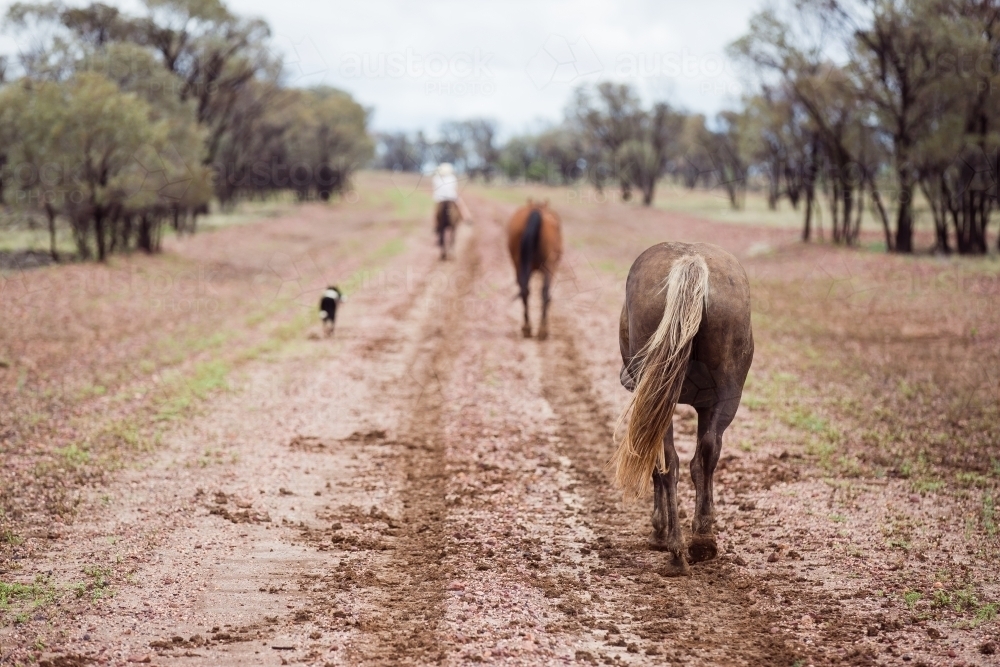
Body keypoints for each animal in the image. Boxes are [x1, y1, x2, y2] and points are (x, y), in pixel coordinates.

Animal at [507, 200, 563, 340]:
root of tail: (536, 212)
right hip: (549, 266)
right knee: (545, 293)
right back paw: (542, 330)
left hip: (518, 264)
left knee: (525, 290)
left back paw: (527, 327)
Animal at [612, 242, 754, 576]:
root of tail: (692, 263)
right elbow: (701, 459)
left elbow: (657, 464)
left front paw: (658, 530)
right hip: (726, 397)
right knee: (706, 452)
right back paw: (702, 539)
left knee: (668, 463)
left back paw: (675, 550)